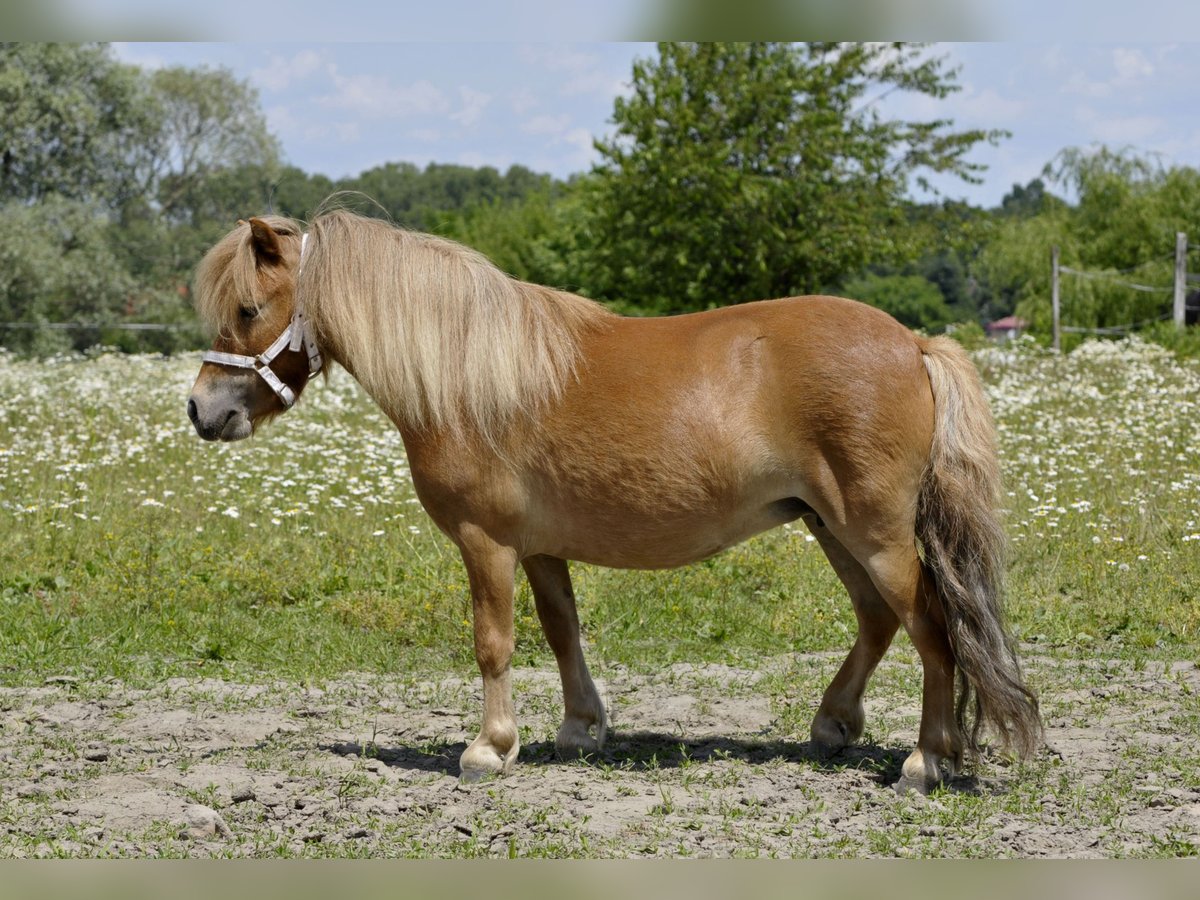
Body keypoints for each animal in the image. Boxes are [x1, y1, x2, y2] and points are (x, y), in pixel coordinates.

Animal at [187, 213, 1041, 796]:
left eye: (249, 310)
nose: (202, 411)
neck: (470, 377)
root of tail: (914, 344)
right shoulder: (538, 547)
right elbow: (563, 630)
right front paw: (579, 727)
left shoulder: (484, 542)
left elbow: (493, 642)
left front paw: (489, 747)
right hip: (833, 527)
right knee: (878, 621)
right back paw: (834, 725)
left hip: (877, 533)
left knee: (930, 628)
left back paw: (926, 760)